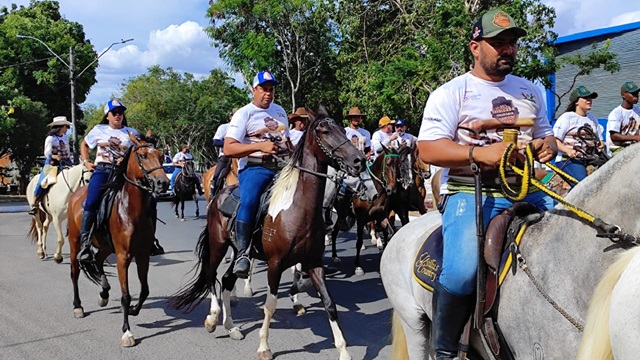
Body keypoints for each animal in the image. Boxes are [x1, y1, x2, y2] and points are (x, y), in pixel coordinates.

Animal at [66, 132, 169, 346]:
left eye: (160, 155)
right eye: (143, 155)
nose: (163, 183)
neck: (130, 209)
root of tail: (76, 195)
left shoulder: (142, 255)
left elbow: (145, 290)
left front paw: (134, 311)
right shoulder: (123, 256)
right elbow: (125, 295)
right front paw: (127, 332)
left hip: (105, 246)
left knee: (97, 261)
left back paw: (104, 293)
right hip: (74, 243)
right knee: (74, 273)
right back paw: (78, 306)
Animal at [168, 105, 364, 360]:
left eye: (342, 128)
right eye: (324, 131)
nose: (359, 160)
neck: (298, 208)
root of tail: (219, 196)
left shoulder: (313, 262)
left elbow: (329, 302)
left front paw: (343, 350)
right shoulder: (275, 263)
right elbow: (270, 305)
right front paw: (264, 347)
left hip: (240, 252)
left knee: (228, 279)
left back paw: (231, 327)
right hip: (218, 245)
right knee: (212, 276)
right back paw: (212, 319)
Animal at [328, 146, 398, 276]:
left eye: (399, 164)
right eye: (388, 164)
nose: (392, 189)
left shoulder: (381, 216)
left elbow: (389, 232)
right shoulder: (361, 219)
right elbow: (359, 241)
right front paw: (358, 266)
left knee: (334, 232)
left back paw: (335, 256)